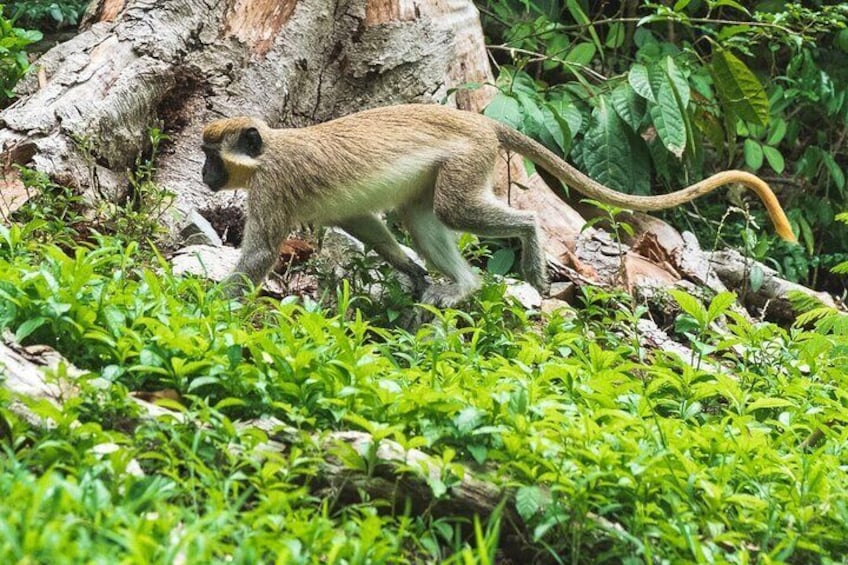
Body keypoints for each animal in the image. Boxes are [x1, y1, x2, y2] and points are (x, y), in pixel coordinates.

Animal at [200, 103, 796, 306]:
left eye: (211, 155)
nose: (204, 175)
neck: (269, 150)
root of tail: (482, 123)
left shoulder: (272, 187)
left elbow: (259, 257)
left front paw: (202, 305)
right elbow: (363, 221)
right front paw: (410, 270)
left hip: (468, 159)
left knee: (454, 212)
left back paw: (529, 241)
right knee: (422, 216)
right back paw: (461, 285)